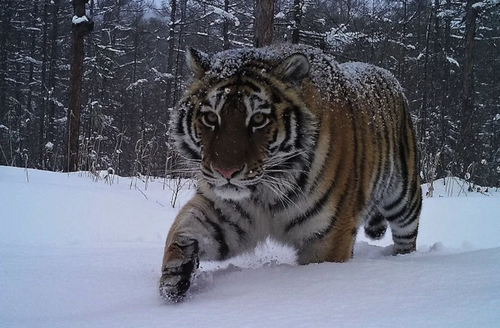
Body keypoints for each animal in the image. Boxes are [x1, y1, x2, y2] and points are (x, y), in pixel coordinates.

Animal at [159, 44, 422, 302]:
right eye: (211, 117)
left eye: (258, 119)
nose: (226, 171)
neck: (266, 191)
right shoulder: (225, 212)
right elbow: (181, 228)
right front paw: (174, 276)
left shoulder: (328, 235)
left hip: (405, 198)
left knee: (407, 235)